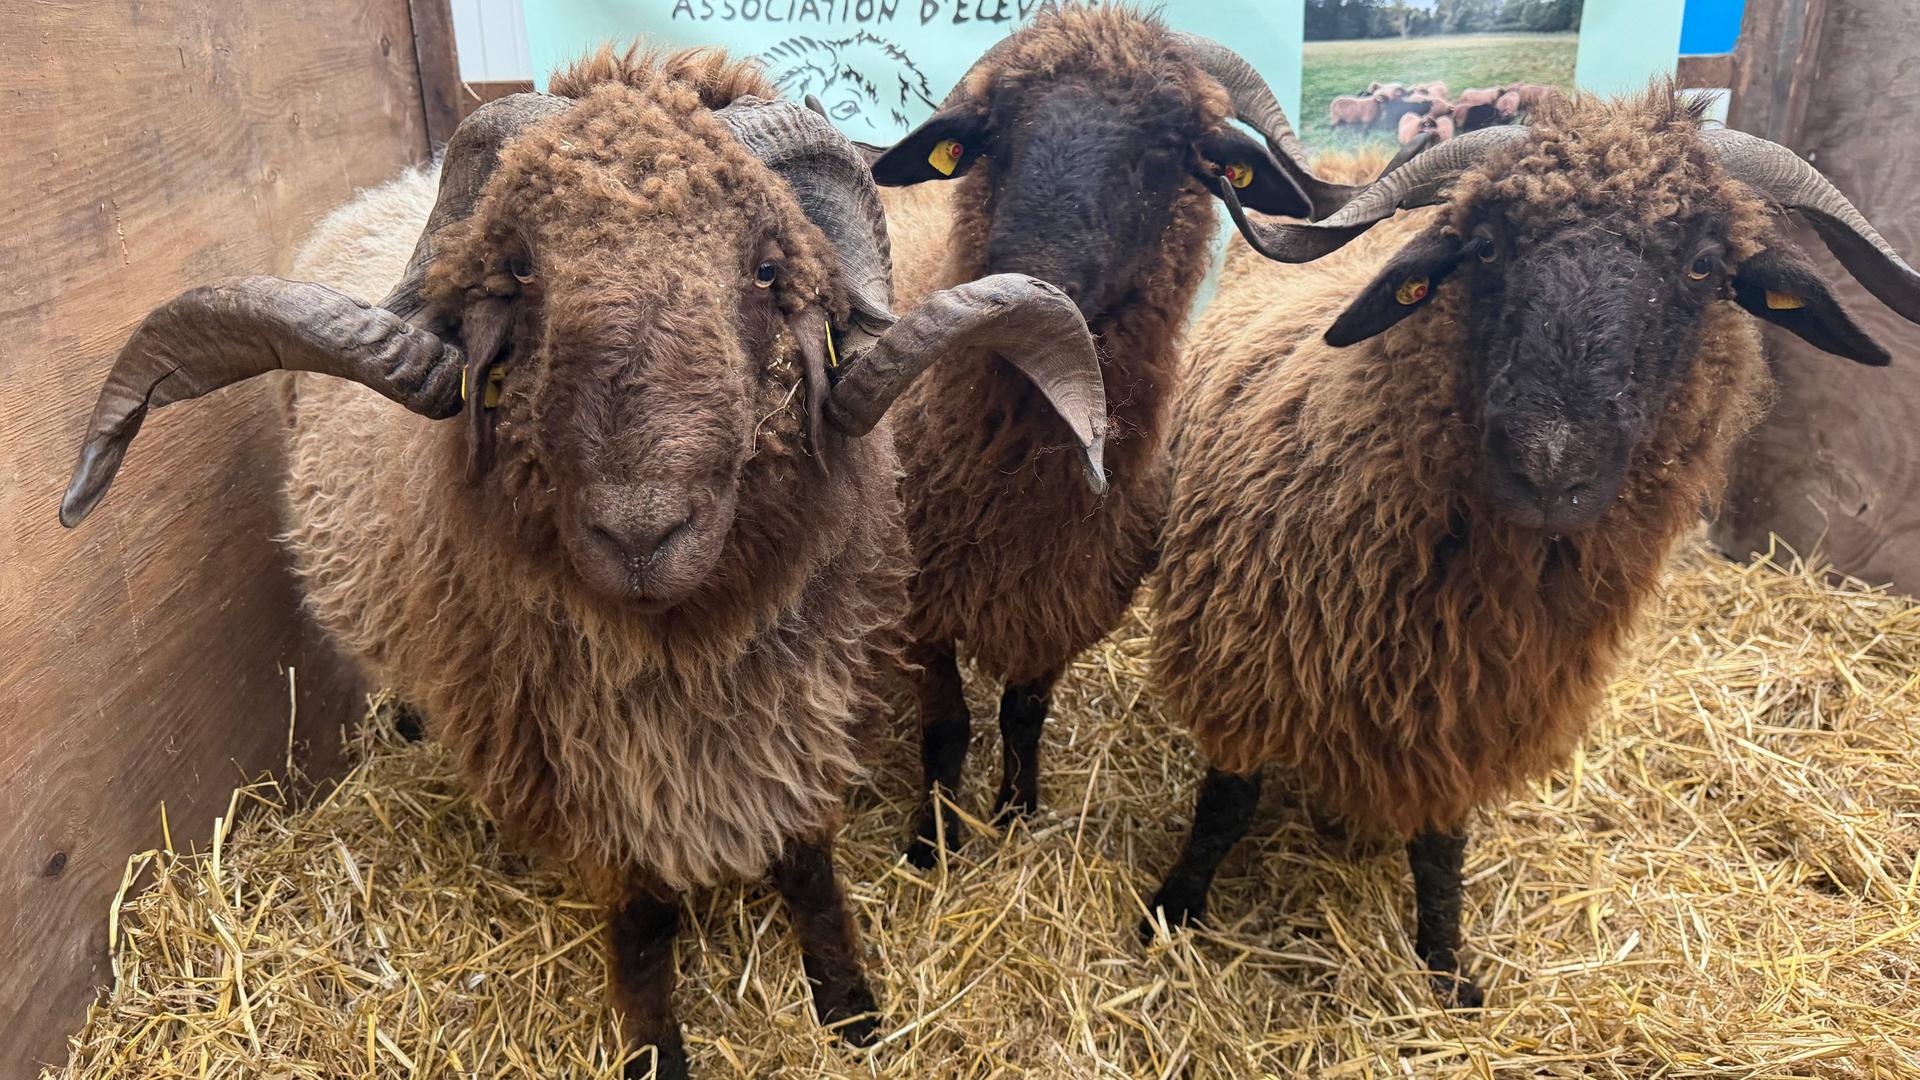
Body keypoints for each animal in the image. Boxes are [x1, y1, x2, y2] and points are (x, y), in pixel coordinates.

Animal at [56, 46, 1110, 1078]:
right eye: (518, 271)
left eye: (768, 269)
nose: (640, 534)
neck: (681, 648)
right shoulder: (588, 781)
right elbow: (642, 928)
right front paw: (658, 1053)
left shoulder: (803, 717)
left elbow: (810, 870)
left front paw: (852, 1013)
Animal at [855, 5, 1355, 866]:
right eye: (993, 133)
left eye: (1167, 148)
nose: (1021, 284)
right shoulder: (923, 603)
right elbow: (947, 727)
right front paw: (930, 845)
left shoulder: (1063, 596)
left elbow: (1023, 715)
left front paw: (1016, 812)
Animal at [1145, 87, 1920, 1007]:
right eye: (1484, 247)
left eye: (1704, 266)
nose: (1552, 465)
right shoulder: (1240, 671)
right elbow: (1223, 811)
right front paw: (1171, 913)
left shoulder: (1470, 714)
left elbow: (1441, 850)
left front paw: (1447, 972)